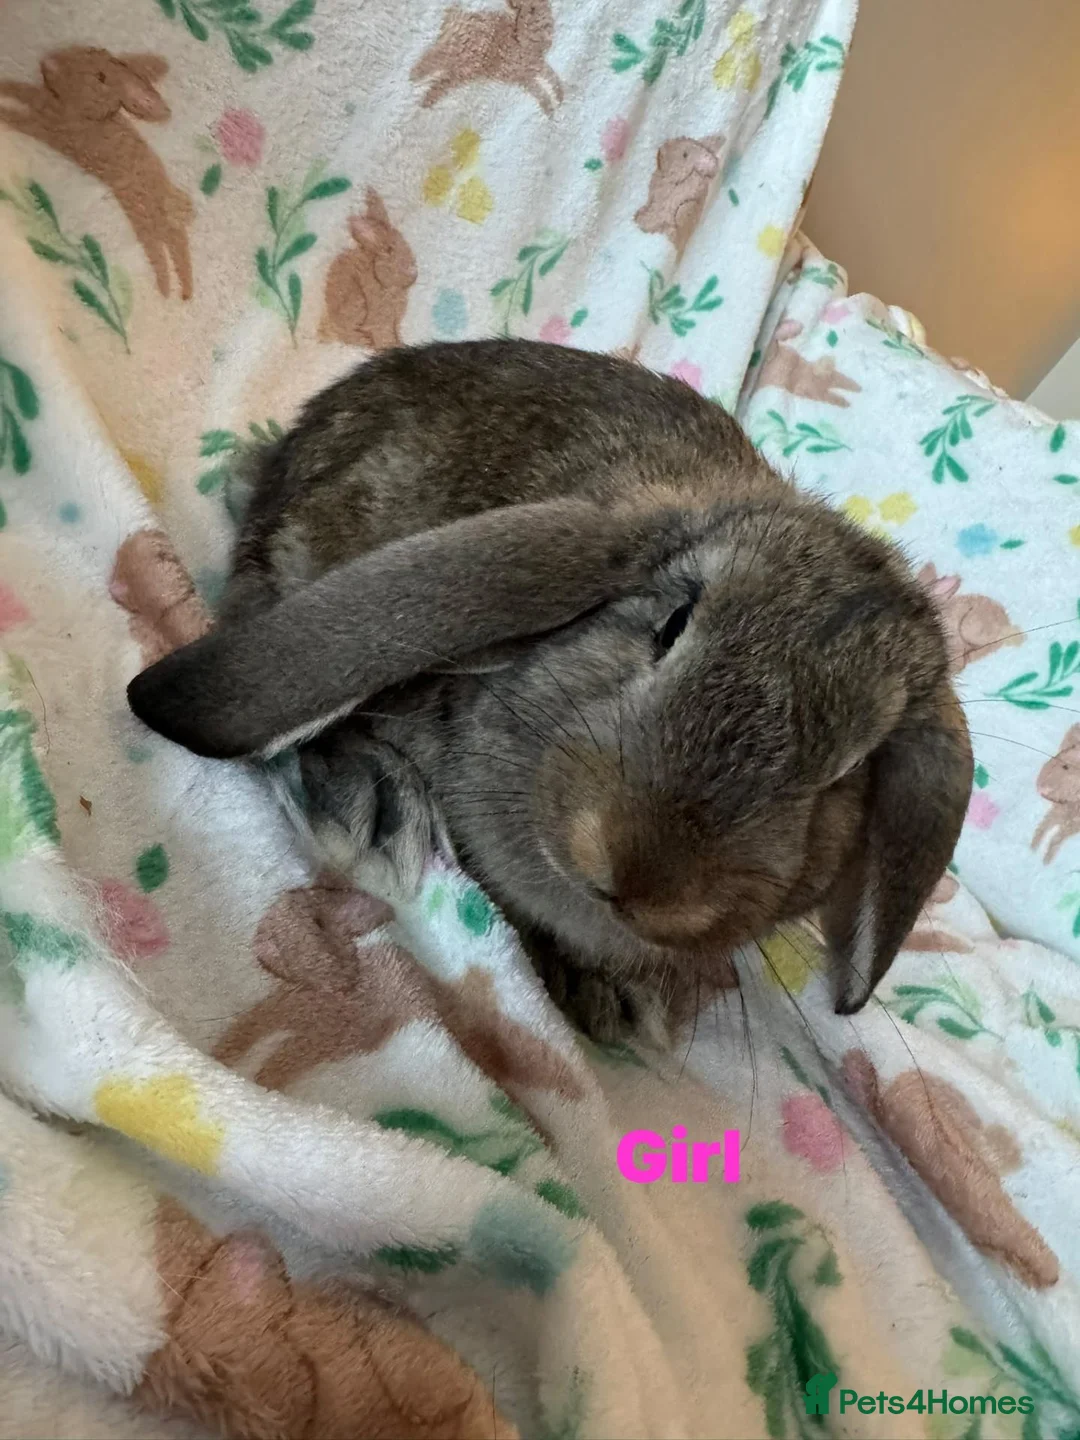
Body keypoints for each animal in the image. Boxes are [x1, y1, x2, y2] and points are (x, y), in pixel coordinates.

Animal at [0, 48, 194, 300]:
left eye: (101, 76)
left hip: (144, 216)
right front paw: (5, 88)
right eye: (91, 51)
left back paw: (171, 290)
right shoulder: (42, 106)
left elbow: (22, 115)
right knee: (175, 246)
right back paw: (182, 291)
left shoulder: (48, 125)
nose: (48, 61)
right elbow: (20, 91)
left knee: (159, 251)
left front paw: (4, 112)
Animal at [319, 190, 417, 351]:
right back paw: (365, 341)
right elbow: (385, 337)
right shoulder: (381, 322)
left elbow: (396, 334)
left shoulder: (394, 323)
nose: (414, 274)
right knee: (346, 334)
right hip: (359, 305)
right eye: (389, 250)